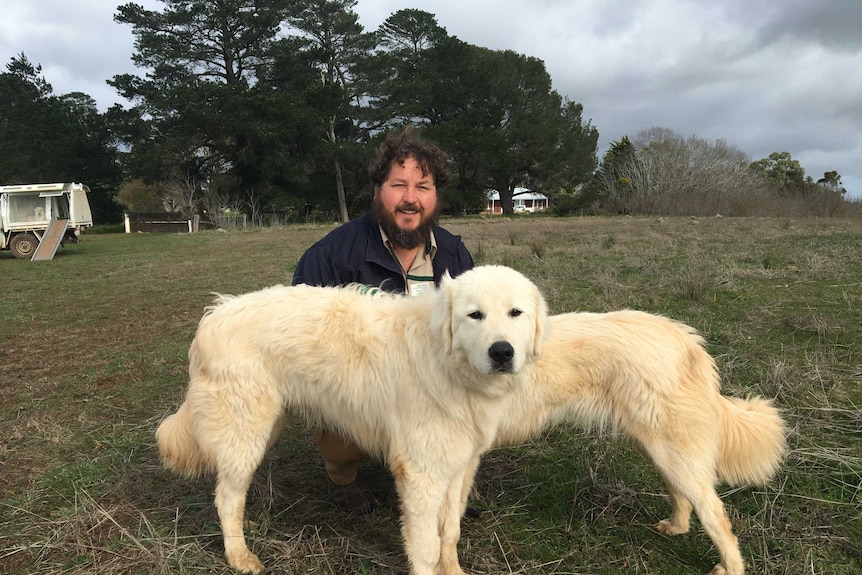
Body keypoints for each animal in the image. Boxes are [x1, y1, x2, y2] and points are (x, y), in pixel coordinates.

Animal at [492, 310, 788, 575]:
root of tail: (688, 343)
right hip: (661, 450)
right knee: (681, 494)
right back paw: (677, 527)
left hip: (671, 452)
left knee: (713, 512)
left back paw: (731, 567)